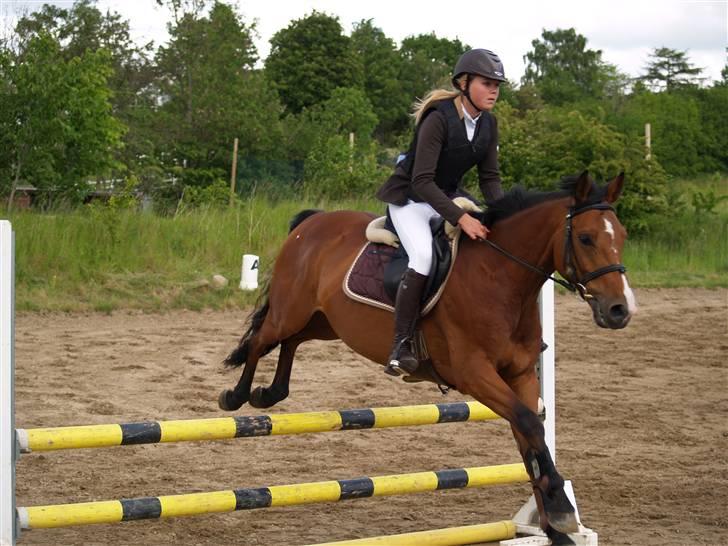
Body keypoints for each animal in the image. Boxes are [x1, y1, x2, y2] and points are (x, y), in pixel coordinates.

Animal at [217, 170, 636, 540]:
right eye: (585, 238)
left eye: (622, 237)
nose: (619, 310)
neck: (501, 278)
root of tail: (315, 220)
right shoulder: (474, 373)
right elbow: (530, 425)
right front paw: (562, 511)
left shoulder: (519, 374)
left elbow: (530, 439)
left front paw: (556, 528)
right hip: (292, 311)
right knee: (261, 340)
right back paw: (237, 396)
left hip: (324, 321)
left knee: (291, 342)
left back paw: (270, 393)